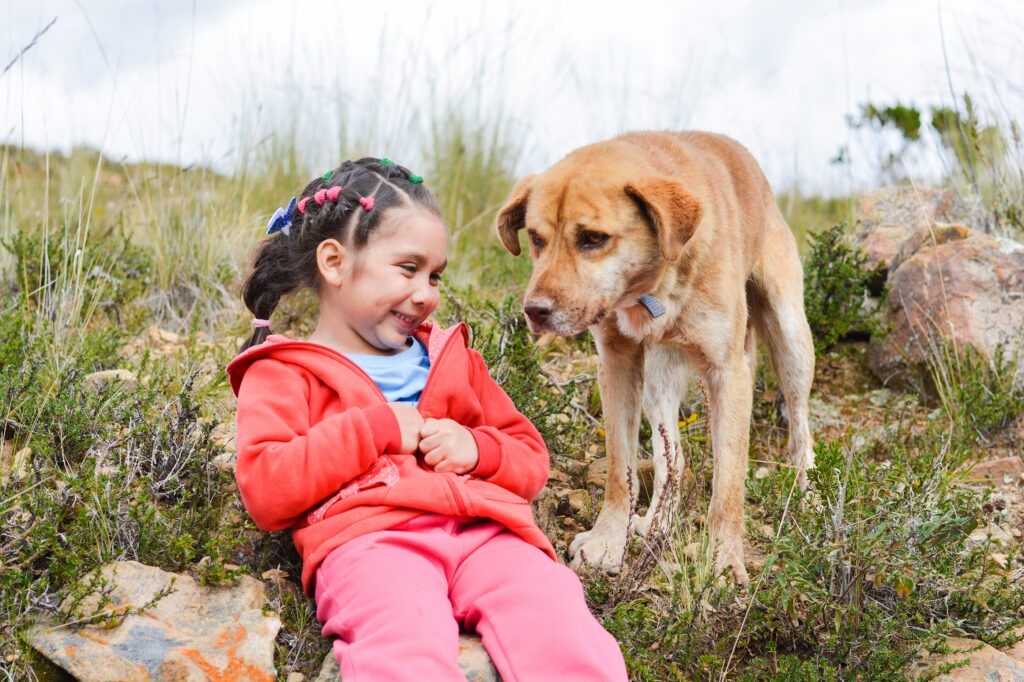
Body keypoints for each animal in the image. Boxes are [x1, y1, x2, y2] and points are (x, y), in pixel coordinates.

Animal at [495, 129, 815, 577]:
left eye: (593, 239)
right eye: (536, 239)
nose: (535, 312)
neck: (652, 289)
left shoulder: (728, 374)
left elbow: (728, 485)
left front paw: (722, 564)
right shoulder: (617, 363)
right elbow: (620, 469)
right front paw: (610, 540)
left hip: (791, 338)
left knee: (801, 425)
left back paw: (807, 492)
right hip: (660, 376)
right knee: (672, 457)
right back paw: (658, 522)